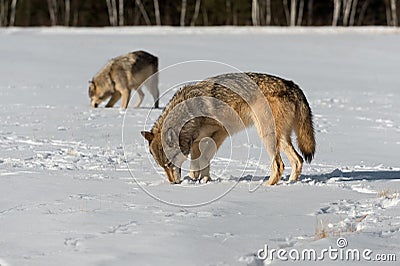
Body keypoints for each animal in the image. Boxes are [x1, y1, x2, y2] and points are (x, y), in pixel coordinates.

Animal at [141, 72, 316, 185]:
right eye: (162, 166)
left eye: (170, 164)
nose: (173, 184)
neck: (189, 113)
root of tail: (292, 84)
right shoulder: (196, 142)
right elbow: (198, 163)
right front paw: (201, 180)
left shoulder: (221, 133)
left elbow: (204, 159)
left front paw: (200, 180)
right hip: (280, 138)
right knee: (298, 160)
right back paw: (291, 183)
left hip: (267, 135)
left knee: (279, 165)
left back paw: (267, 187)